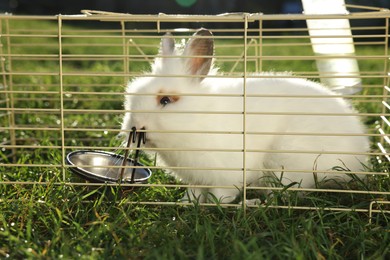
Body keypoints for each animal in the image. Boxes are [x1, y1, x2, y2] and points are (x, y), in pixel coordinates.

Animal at [123, 28, 370, 203]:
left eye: (165, 100)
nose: (134, 126)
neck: (198, 119)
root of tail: (361, 154)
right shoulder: (197, 178)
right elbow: (194, 192)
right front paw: (186, 203)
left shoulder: (226, 173)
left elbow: (221, 195)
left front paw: (214, 205)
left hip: (288, 162)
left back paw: (256, 202)